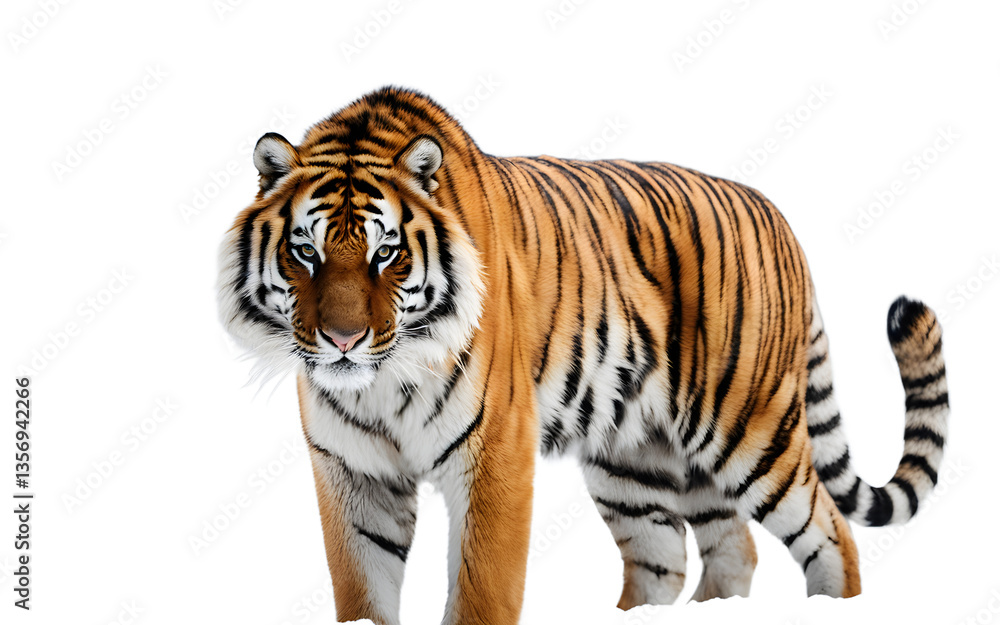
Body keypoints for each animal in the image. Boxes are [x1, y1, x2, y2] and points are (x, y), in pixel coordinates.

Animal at [217, 86, 950, 625]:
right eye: (306, 252)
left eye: (386, 254)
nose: (342, 341)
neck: (381, 383)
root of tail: (780, 216)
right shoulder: (352, 470)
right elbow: (362, 593)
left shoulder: (495, 455)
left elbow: (481, 590)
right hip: (639, 457)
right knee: (702, 551)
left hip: (749, 426)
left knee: (830, 531)